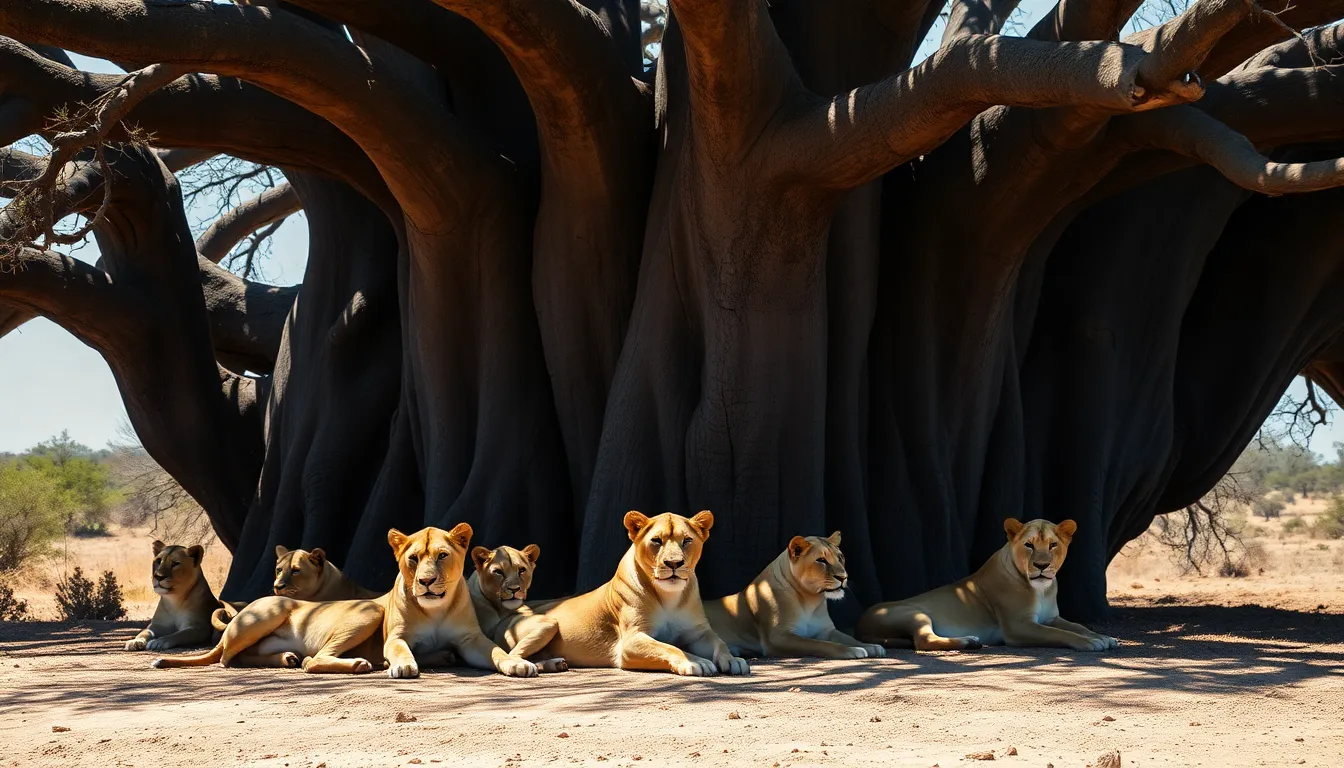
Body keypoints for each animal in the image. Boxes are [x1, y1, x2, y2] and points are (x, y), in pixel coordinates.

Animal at [382, 524, 538, 679]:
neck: (435, 610)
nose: (426, 580)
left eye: (442, 555)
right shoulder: (397, 636)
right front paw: (403, 666)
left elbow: (497, 651)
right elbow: (399, 649)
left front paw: (517, 663)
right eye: (413, 558)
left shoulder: (470, 638)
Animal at [502, 511, 749, 677]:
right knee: (512, 655)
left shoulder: (698, 633)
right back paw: (521, 666)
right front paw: (695, 661)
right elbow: (670, 646)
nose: (674, 563)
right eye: (656, 540)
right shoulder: (630, 642)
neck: (669, 598)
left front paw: (733, 660)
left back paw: (554, 664)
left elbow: (720, 643)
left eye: (687, 540)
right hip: (548, 625)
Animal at [705, 531, 885, 660]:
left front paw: (870, 646)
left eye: (840, 558)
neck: (810, 601)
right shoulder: (778, 637)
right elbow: (820, 644)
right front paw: (851, 650)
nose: (843, 577)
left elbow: (847, 637)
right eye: (821, 560)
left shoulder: (826, 630)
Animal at [856, 518, 1118, 652]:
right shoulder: (1017, 627)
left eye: (1053, 545)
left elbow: (1077, 625)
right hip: (915, 613)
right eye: (1029, 545)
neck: (1041, 590)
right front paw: (1091, 642)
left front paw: (1104, 637)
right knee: (923, 641)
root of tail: (861, 623)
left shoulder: (1051, 617)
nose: (1042, 565)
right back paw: (968, 642)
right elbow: (1059, 633)